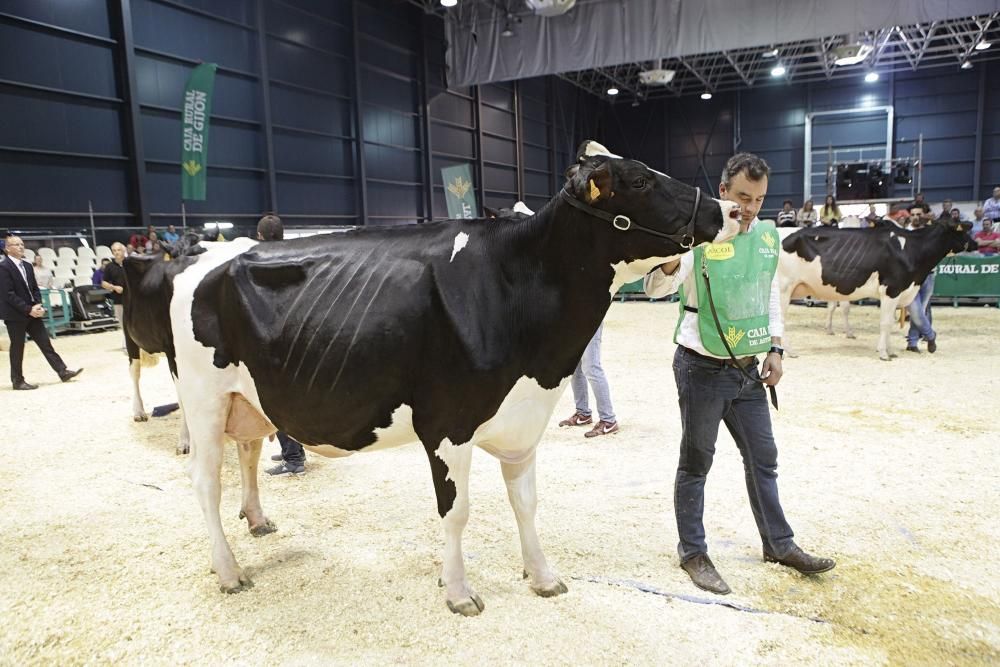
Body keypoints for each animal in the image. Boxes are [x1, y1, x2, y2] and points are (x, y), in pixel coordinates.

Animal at [166, 144, 744, 620]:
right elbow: (457, 512)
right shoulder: (448, 426)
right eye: (641, 181)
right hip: (203, 398)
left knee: (245, 454)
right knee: (204, 482)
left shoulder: (522, 420)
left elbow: (526, 503)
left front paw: (543, 577)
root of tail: (209, 254)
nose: (731, 211)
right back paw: (229, 571)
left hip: (246, 401)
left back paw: (255, 523)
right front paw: (460, 592)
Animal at [780, 220, 976, 360]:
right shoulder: (892, 290)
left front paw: (891, 351)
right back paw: (789, 351)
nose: (975, 243)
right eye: (962, 230)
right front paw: (883, 353)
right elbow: (886, 323)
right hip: (783, 288)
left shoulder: (900, 292)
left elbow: (890, 322)